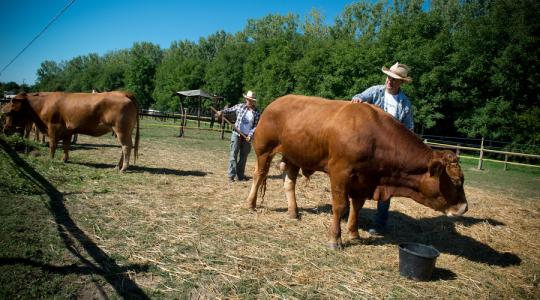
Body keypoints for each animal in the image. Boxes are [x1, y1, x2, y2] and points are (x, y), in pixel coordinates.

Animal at [2, 91, 140, 171]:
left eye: (12, 100)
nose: (3, 109)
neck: (43, 104)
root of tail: (123, 93)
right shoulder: (67, 130)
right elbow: (66, 145)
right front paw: (64, 159)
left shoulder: (53, 127)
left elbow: (53, 145)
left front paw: (51, 159)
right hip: (124, 131)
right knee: (124, 147)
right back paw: (117, 166)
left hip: (121, 130)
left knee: (126, 147)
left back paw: (123, 168)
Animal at [246, 95, 468, 250]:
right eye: (457, 181)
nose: (464, 208)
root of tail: (277, 101)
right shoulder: (340, 172)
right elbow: (340, 205)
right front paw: (335, 239)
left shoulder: (364, 179)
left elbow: (357, 205)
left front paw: (354, 233)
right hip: (264, 150)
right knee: (259, 175)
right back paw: (251, 204)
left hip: (294, 156)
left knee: (289, 183)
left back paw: (293, 211)